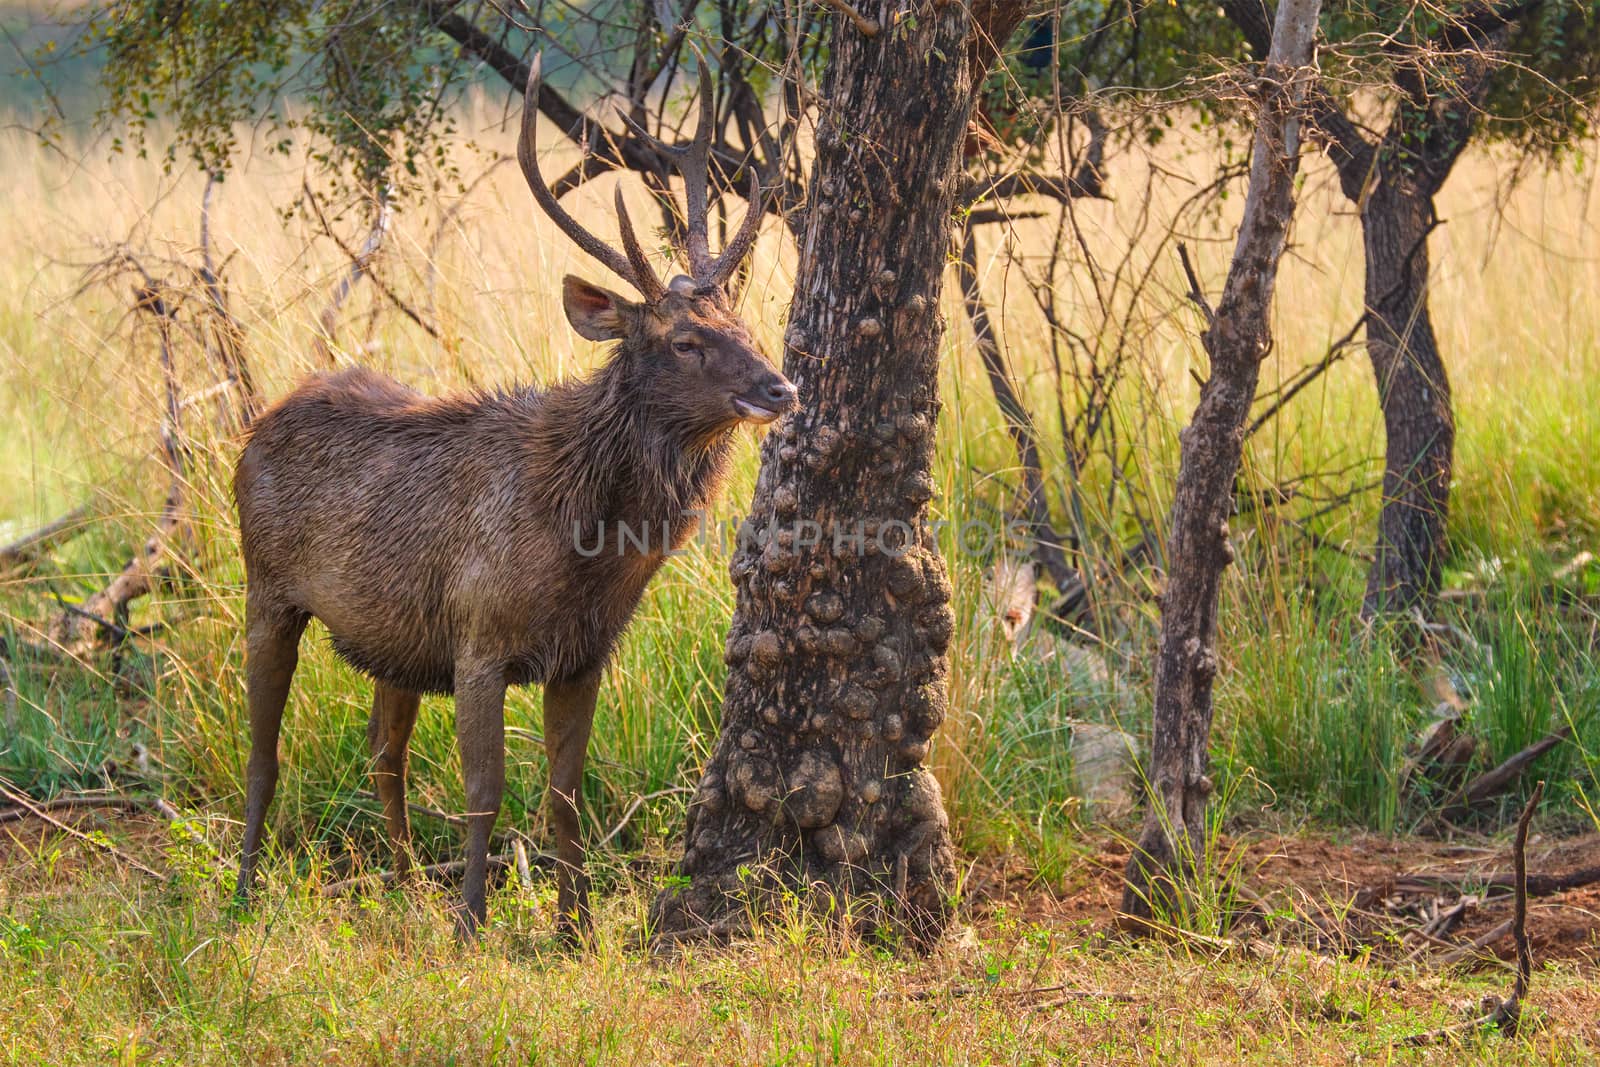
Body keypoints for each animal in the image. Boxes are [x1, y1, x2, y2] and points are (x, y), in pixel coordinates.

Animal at [232, 56, 793, 940]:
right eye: (685, 340)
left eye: (739, 318)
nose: (781, 386)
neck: (583, 546)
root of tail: (257, 425)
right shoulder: (480, 634)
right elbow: (484, 791)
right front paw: (473, 922)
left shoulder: (583, 653)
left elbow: (565, 793)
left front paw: (575, 927)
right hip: (267, 587)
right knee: (263, 749)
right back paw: (246, 889)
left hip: (395, 638)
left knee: (383, 750)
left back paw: (402, 887)